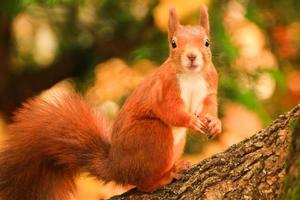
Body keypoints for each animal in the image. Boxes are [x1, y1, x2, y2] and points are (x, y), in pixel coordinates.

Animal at [0, 5, 220, 200]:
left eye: (207, 42)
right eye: (173, 44)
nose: (191, 56)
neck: (191, 76)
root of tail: (116, 166)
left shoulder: (209, 86)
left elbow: (210, 106)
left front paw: (215, 124)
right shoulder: (163, 90)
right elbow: (169, 110)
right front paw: (191, 121)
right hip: (153, 136)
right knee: (143, 183)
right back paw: (165, 177)